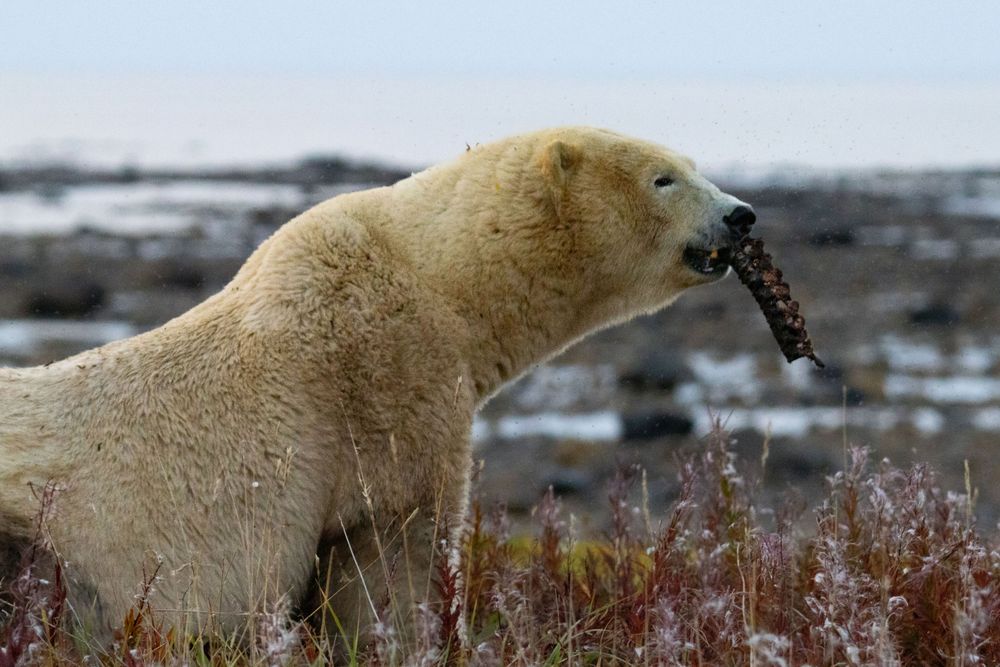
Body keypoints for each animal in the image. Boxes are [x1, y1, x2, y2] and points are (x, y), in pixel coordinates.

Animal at [0, 127, 753, 642]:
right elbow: (392, 549)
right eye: (663, 178)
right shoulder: (387, 381)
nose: (742, 214)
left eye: (693, 165)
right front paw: (416, 636)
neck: (436, 278)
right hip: (51, 535)